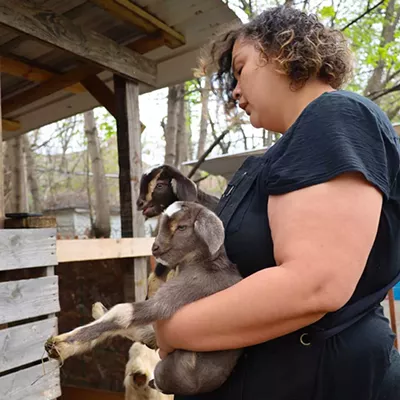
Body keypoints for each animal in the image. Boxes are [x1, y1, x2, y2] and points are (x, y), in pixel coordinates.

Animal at [45, 202, 242, 396]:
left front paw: (60, 343)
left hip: (168, 370)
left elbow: (123, 313)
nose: (155, 248)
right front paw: (60, 345)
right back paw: (99, 310)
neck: (201, 264)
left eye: (182, 227)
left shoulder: (180, 293)